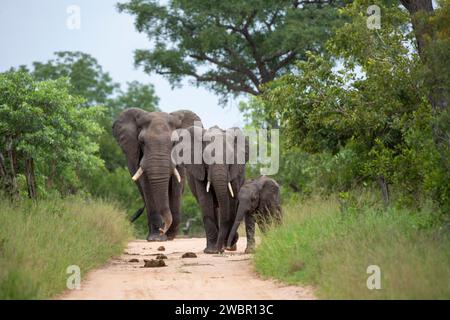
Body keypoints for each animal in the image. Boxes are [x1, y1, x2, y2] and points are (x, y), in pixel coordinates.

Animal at [112, 107, 202, 240]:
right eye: (142, 142)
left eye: (175, 142)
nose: (162, 229)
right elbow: (147, 186)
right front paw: (156, 238)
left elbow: (176, 185)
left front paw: (169, 236)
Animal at [173, 126, 250, 254]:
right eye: (206, 157)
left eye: (231, 158)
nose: (221, 250)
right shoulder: (199, 170)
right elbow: (205, 201)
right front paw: (211, 251)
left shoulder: (234, 173)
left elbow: (232, 202)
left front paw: (225, 246)